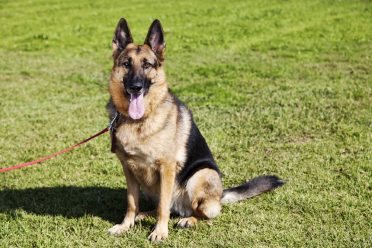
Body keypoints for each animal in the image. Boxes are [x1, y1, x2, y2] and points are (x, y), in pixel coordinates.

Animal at [106, 17, 284, 242]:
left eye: (147, 65)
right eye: (127, 64)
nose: (136, 87)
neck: (139, 121)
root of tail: (220, 195)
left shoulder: (167, 168)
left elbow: (163, 206)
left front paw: (160, 231)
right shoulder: (128, 169)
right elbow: (132, 203)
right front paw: (125, 226)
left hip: (199, 176)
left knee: (198, 211)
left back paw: (188, 220)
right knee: (167, 207)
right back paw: (144, 214)